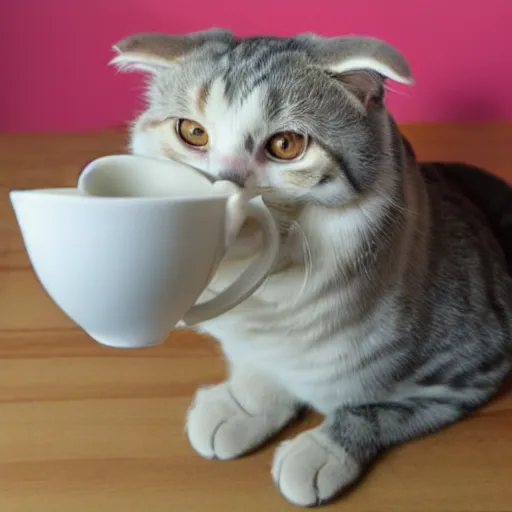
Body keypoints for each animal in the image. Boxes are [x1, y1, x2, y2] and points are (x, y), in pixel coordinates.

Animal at [109, 30, 512, 506]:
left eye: (286, 145)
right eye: (192, 132)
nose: (223, 187)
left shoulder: (471, 367)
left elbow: (378, 411)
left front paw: (322, 452)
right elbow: (263, 369)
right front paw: (244, 405)